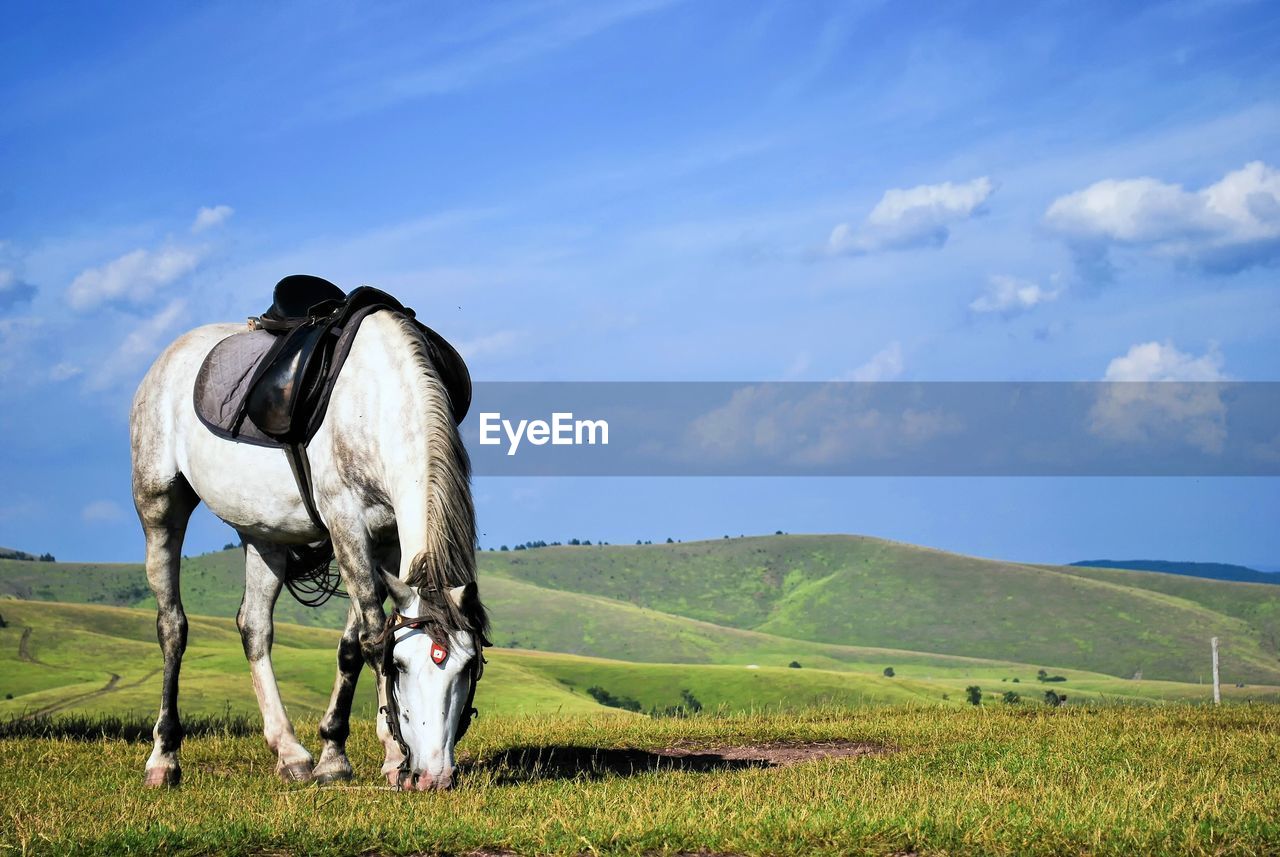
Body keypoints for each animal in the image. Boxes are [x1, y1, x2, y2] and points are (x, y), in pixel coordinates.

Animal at [129, 309, 486, 793]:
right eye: (401, 666)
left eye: (467, 668)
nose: (434, 776)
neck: (377, 400)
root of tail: (167, 359)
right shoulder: (346, 525)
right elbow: (373, 636)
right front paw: (393, 756)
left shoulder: (385, 542)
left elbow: (355, 643)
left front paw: (333, 755)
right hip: (159, 507)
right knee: (172, 627)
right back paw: (164, 757)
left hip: (264, 533)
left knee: (253, 627)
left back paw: (290, 752)